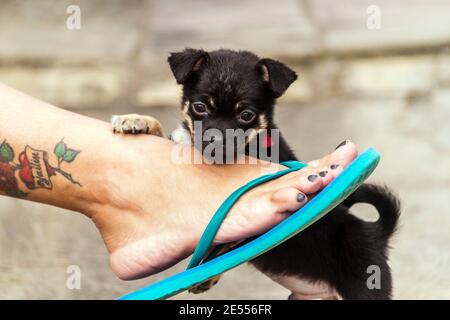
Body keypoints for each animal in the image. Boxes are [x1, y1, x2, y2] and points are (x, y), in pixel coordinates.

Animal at [113, 48, 400, 298]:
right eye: (200, 107)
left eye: (246, 114)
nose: (217, 142)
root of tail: (375, 232)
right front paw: (136, 120)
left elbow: (224, 248)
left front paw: (206, 275)